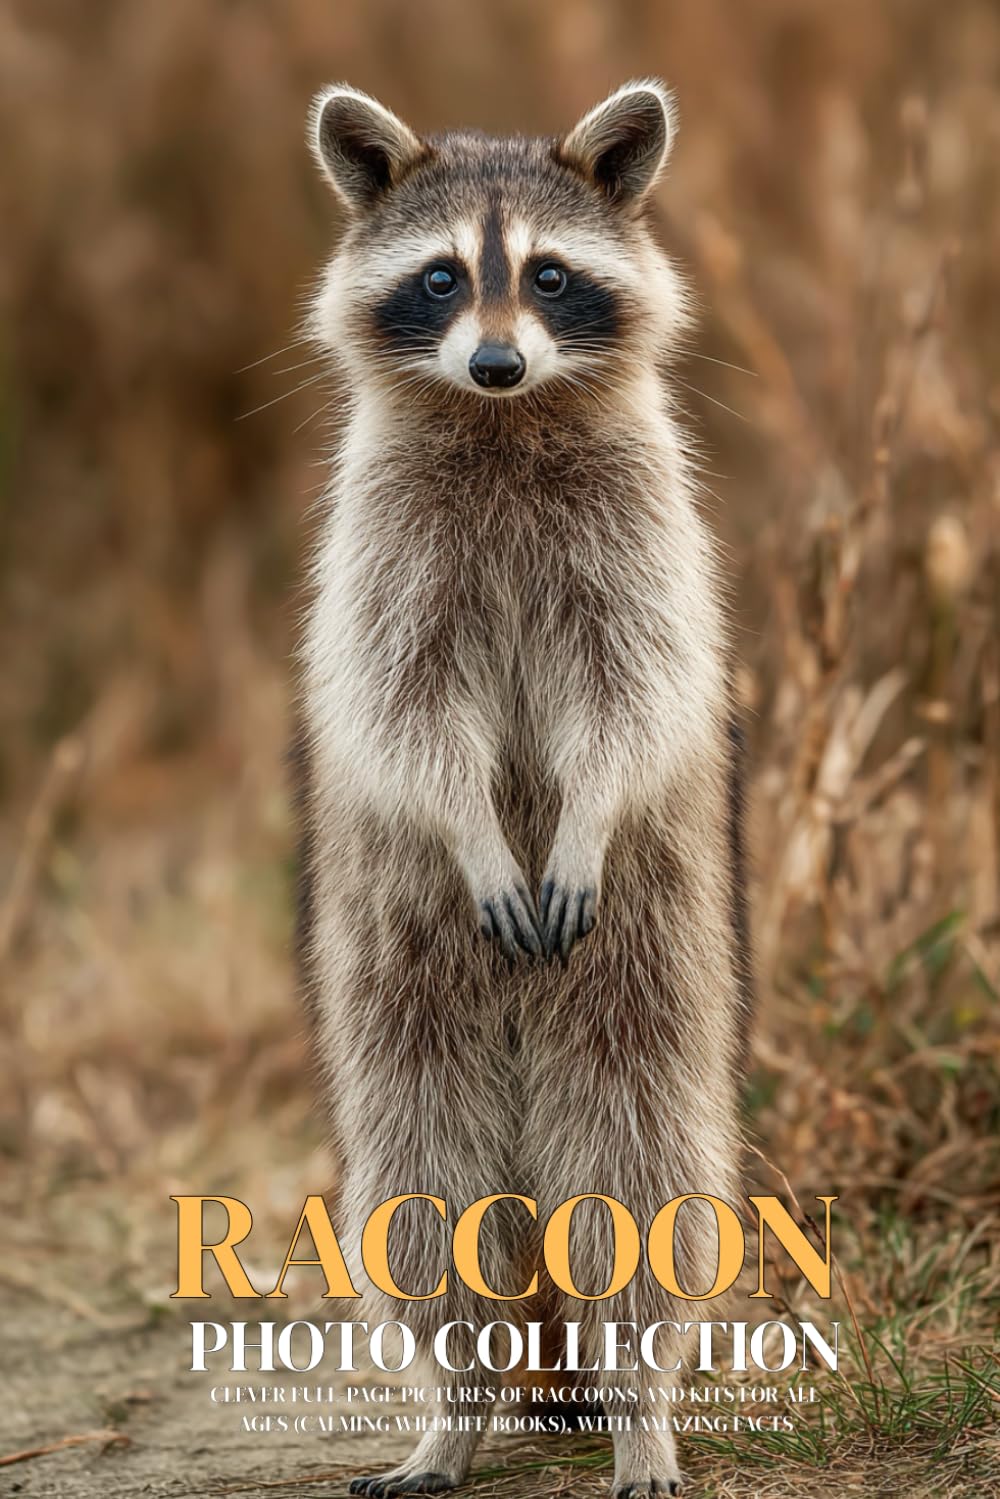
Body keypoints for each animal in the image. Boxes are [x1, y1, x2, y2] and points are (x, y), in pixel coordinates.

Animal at [299, 80, 752, 1498]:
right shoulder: (382, 545)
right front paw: (472, 824)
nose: (495, 363)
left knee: (636, 1168)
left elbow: (632, 691)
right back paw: (457, 1399)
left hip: (647, 959)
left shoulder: (642, 528)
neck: (501, 423)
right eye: (442, 278)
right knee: (425, 1188)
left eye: (548, 277)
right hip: (396, 969)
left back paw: (635, 1395)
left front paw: (589, 810)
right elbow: (403, 710)